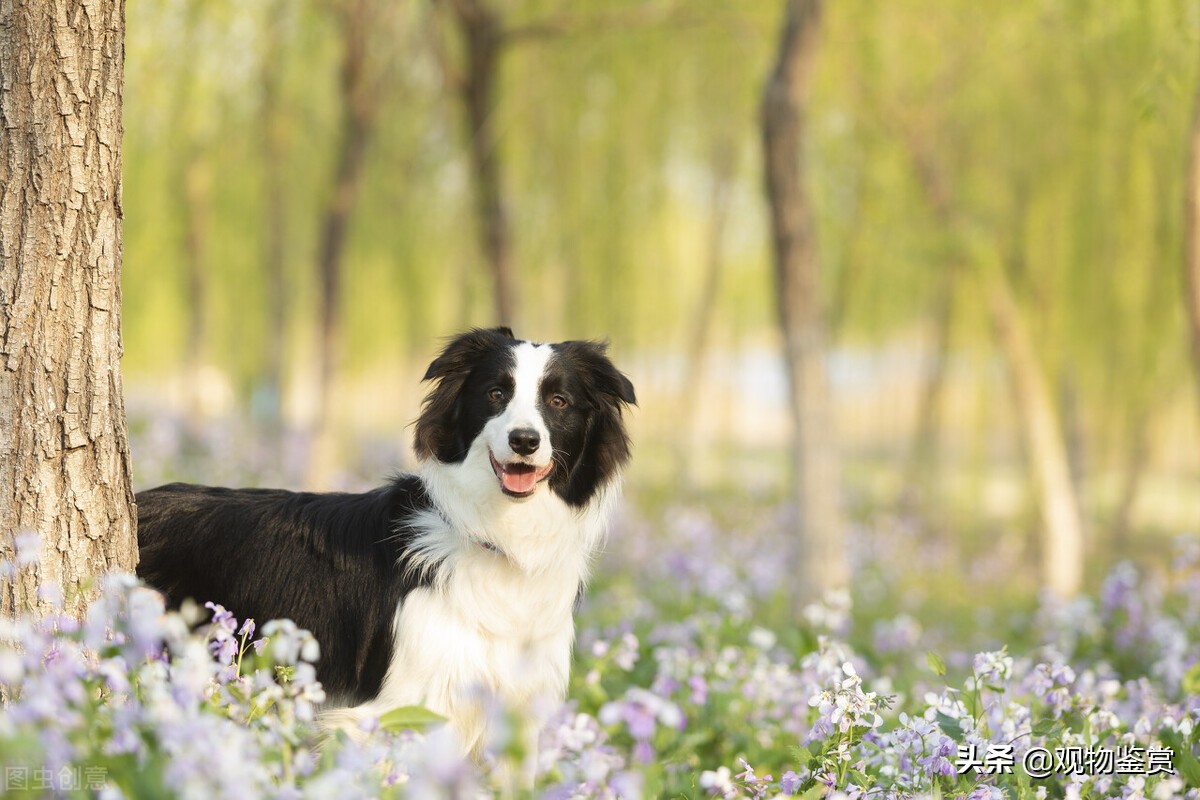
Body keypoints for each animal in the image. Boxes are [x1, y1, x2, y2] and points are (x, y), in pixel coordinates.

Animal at [136, 326, 638, 753]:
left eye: (558, 401)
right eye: (497, 394)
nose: (524, 441)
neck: (497, 539)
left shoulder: (518, 710)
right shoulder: (404, 706)